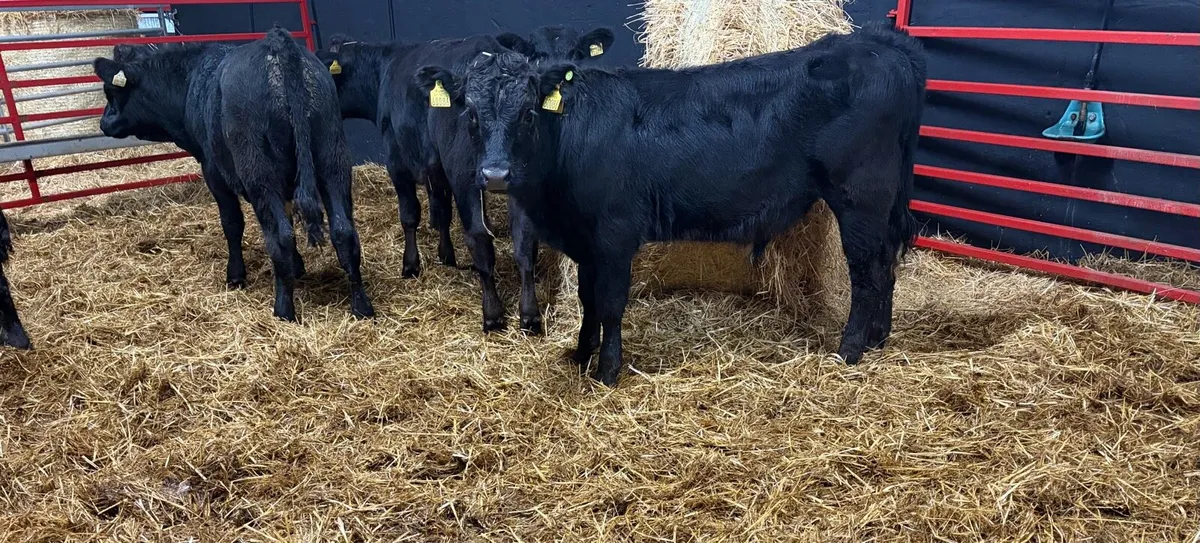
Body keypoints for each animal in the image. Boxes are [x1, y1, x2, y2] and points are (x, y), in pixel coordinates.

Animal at [93, 27, 374, 322]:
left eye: (111, 91)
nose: (104, 122)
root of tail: (277, 45)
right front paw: (298, 267)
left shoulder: (213, 172)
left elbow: (232, 223)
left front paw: (236, 275)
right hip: (333, 157)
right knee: (343, 231)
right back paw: (361, 307)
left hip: (259, 171)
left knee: (281, 237)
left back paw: (283, 310)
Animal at [317, 25, 614, 334]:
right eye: (471, 113)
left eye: (527, 113)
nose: (496, 174)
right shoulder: (439, 169)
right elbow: (448, 218)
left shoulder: (398, 157)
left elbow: (417, 216)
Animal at [424, 22, 926, 385]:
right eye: (471, 113)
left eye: (528, 113)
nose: (495, 174)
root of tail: (878, 43)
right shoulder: (586, 241)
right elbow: (587, 299)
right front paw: (581, 354)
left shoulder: (615, 234)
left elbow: (610, 303)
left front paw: (607, 371)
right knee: (887, 264)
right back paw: (878, 339)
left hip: (860, 198)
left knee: (867, 272)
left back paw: (850, 349)